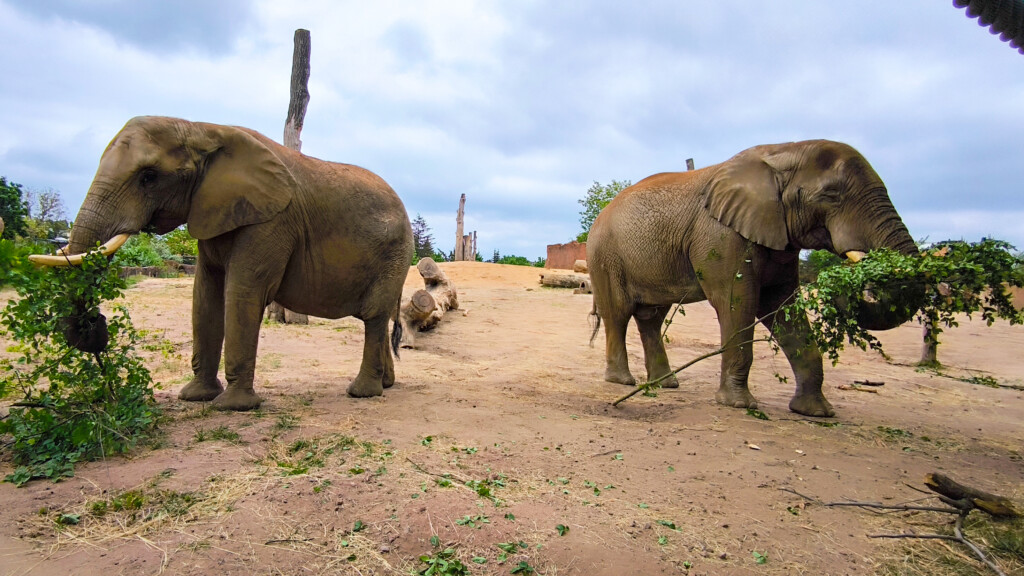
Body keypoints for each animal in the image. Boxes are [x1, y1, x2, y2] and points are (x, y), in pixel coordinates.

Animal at [32, 115, 415, 407]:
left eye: (148, 176)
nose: (97, 327)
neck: (201, 129)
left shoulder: (272, 220)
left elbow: (243, 292)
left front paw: (232, 406)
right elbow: (205, 294)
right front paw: (195, 397)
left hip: (394, 253)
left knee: (374, 316)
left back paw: (362, 393)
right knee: (378, 319)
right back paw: (386, 386)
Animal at [585, 140, 921, 416]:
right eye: (831, 195)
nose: (852, 282)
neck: (783, 152)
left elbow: (783, 308)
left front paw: (816, 412)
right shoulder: (722, 236)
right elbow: (738, 304)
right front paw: (739, 405)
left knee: (651, 318)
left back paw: (665, 385)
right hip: (605, 257)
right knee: (619, 313)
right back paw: (623, 382)